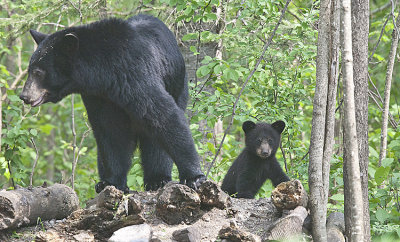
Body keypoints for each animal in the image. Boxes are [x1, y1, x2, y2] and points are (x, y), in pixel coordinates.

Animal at [19, 14, 205, 193]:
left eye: (38, 72)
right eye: (29, 69)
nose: (24, 96)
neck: (104, 75)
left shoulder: (135, 76)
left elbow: (163, 116)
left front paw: (194, 177)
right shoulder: (98, 97)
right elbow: (110, 132)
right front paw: (111, 182)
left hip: (178, 86)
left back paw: (157, 179)